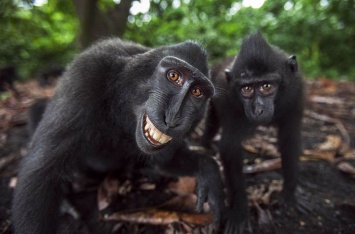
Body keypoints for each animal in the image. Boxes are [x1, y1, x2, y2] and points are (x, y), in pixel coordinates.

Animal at [13, 38, 227, 234]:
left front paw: (209, 171)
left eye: (197, 92)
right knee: (36, 110)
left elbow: (167, 161)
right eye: (174, 76)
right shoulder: (87, 75)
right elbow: (41, 171)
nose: (173, 116)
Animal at [202, 32, 304, 233]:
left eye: (267, 86)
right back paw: (205, 143)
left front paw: (289, 193)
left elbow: (289, 139)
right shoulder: (229, 100)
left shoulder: (296, 93)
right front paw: (240, 211)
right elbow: (231, 148)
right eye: (247, 89)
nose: (258, 110)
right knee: (213, 121)